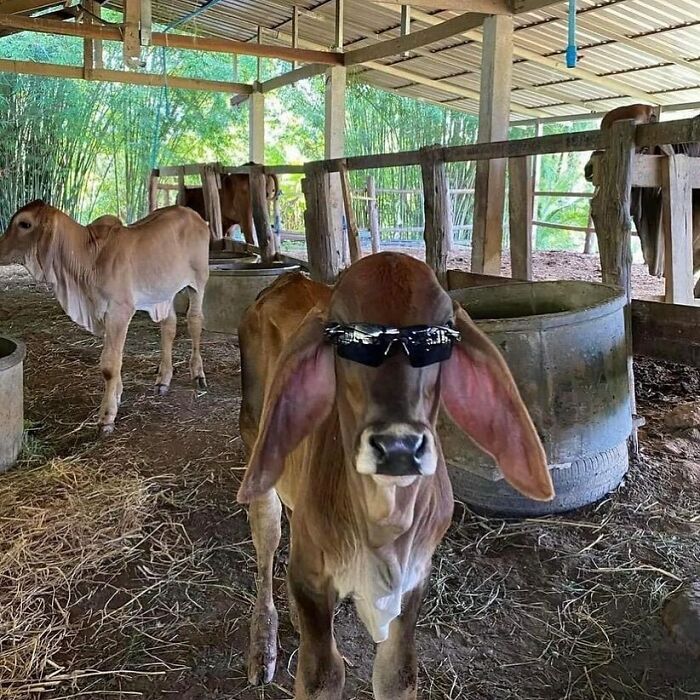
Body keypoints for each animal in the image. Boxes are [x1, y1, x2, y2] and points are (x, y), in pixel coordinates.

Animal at [0, 201, 210, 433]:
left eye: (25, 224)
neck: (90, 257)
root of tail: (194, 215)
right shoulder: (103, 314)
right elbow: (115, 358)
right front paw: (117, 396)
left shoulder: (119, 311)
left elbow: (109, 365)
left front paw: (107, 417)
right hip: (164, 292)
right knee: (169, 327)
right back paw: (163, 379)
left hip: (199, 281)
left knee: (194, 321)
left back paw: (198, 374)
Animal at [236, 252, 554, 698]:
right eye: (350, 339)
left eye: (437, 338)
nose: (399, 447)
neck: (383, 525)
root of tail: (288, 280)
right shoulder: (313, 581)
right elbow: (321, 675)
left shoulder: (414, 584)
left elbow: (397, 674)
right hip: (257, 451)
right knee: (266, 540)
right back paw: (262, 642)